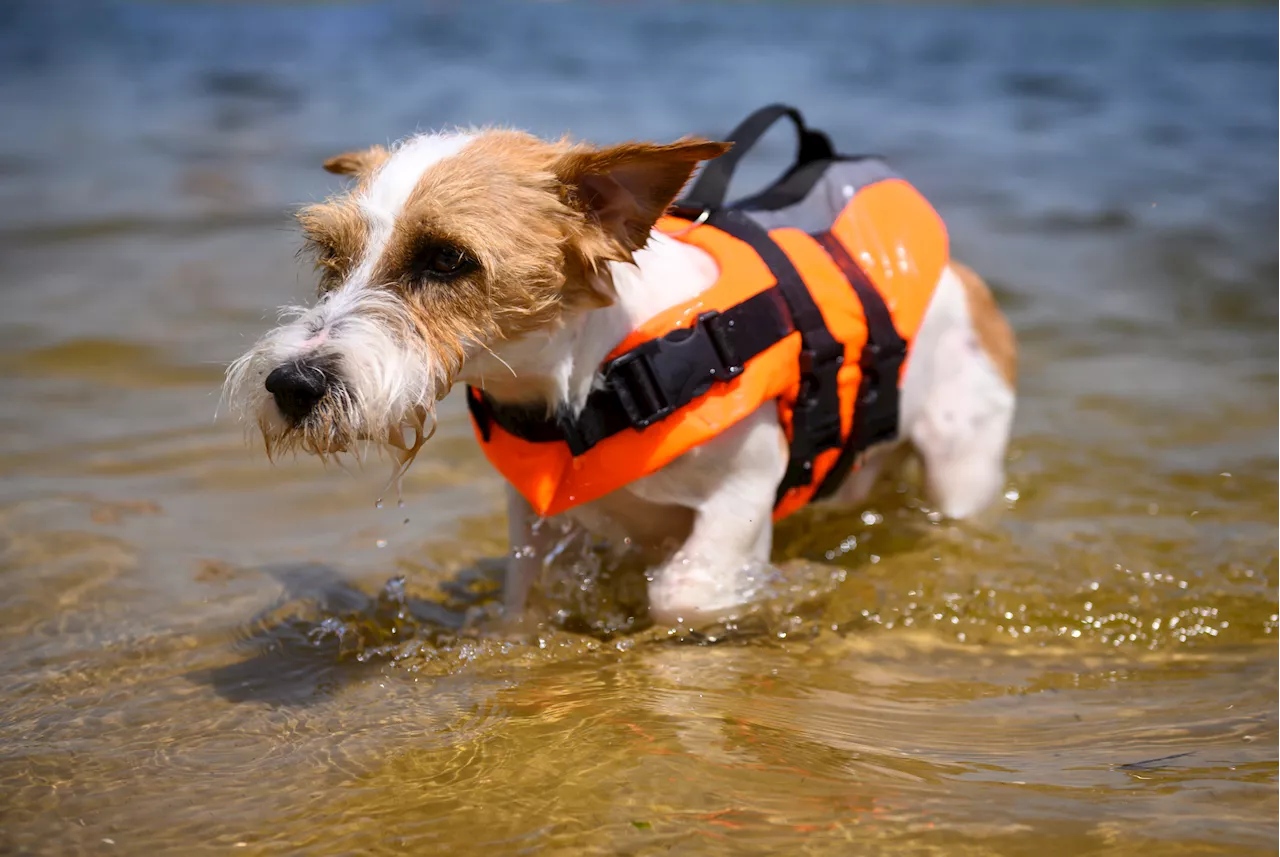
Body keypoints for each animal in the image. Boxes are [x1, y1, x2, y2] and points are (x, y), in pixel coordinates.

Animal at [225, 124, 1013, 626]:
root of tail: (964, 275)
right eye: (330, 255)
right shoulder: (533, 521)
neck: (591, 381)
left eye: (447, 258)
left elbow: (685, 595)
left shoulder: (742, 491)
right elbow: (524, 602)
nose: (292, 385)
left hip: (962, 464)